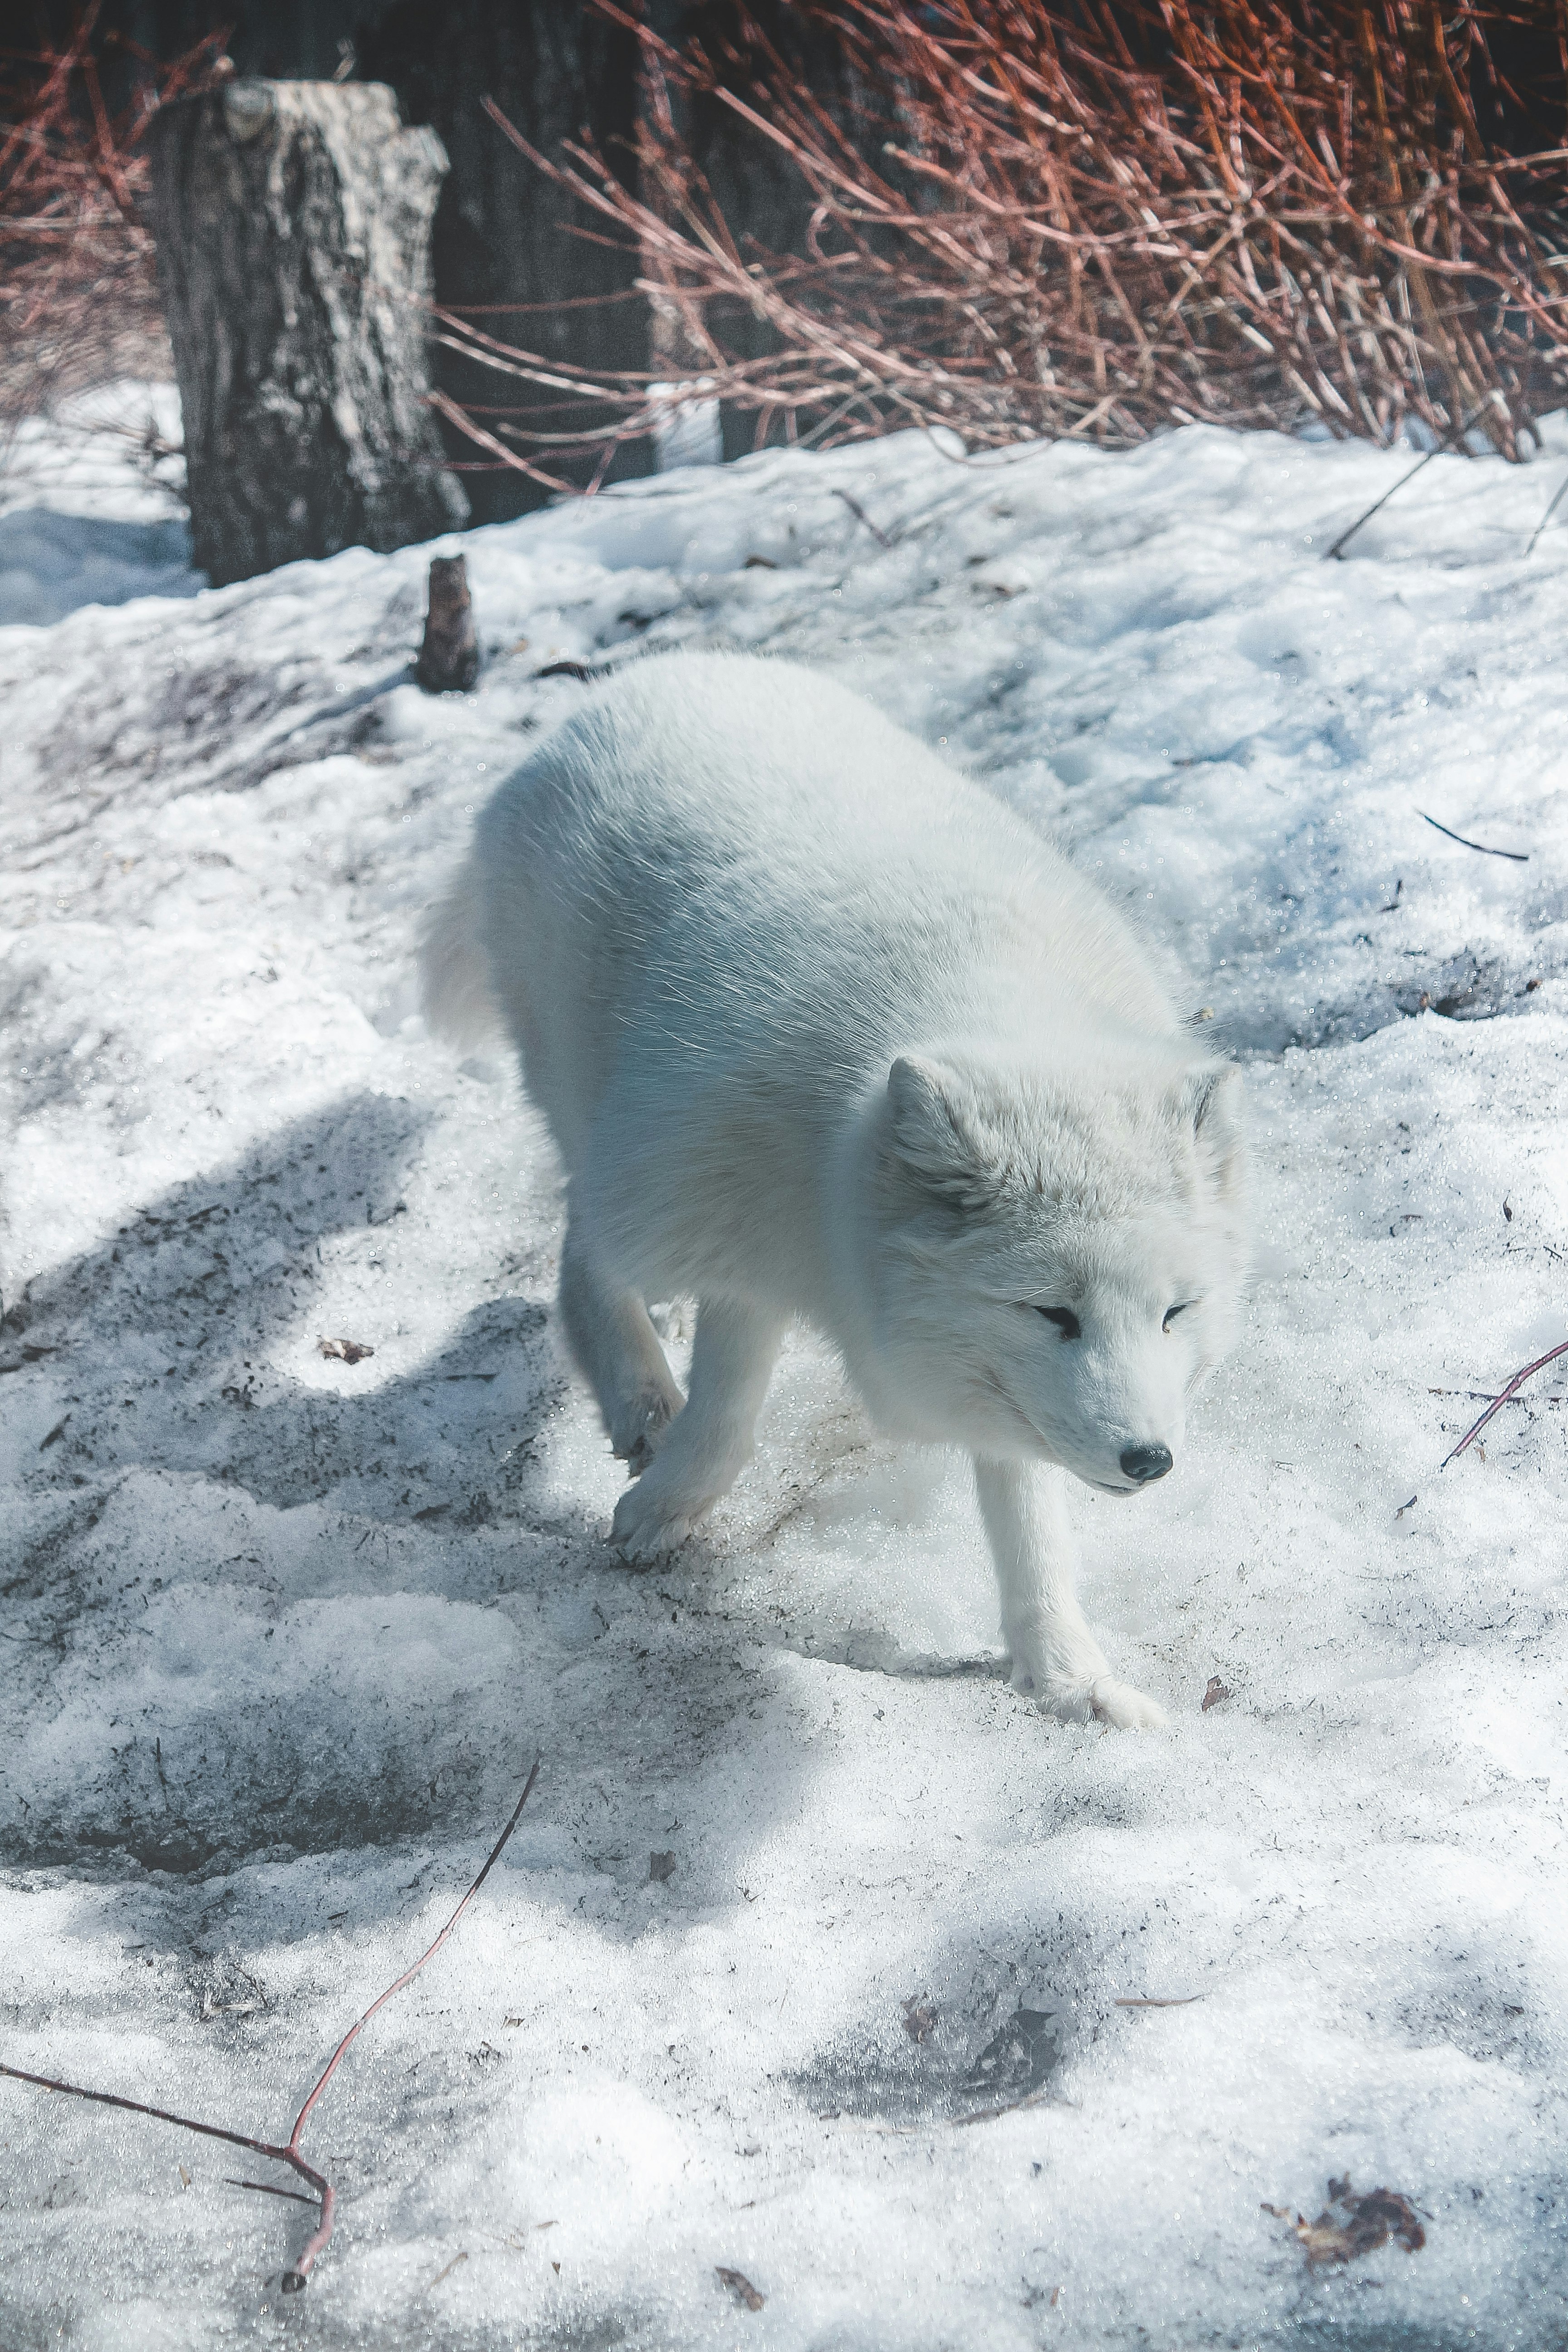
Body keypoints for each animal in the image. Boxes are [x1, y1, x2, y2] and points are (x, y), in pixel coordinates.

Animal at [421, 649, 1250, 1731]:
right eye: (1053, 1313)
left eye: (1174, 1313)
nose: (1148, 1460)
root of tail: (649, 674)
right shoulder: (738, 1228)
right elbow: (728, 1410)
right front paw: (662, 1508)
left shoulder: (979, 1377)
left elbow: (1029, 1521)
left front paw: (1068, 1675)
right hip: (600, 1111)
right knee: (583, 1244)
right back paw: (639, 1395)